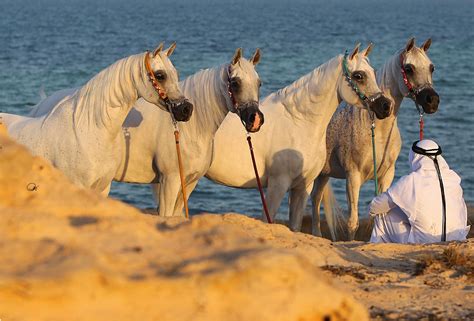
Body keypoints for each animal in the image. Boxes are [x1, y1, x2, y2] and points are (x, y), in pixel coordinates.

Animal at [206, 45, 392, 230]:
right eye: (359, 76)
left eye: (373, 72)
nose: (386, 106)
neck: (298, 121)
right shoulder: (278, 184)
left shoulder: (303, 186)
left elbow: (295, 227)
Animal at [312, 37, 440, 240]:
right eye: (409, 68)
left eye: (431, 67)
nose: (432, 101)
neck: (375, 130)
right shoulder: (353, 177)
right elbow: (352, 223)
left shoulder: (386, 176)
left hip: (323, 175)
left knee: (316, 199)